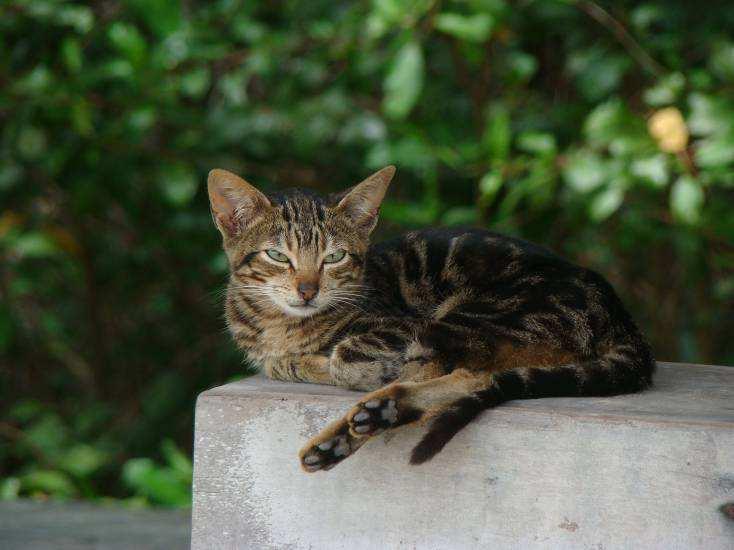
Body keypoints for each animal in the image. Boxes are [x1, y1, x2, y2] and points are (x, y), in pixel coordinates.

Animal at [206, 166, 656, 472]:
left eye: (333, 257)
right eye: (277, 255)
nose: (307, 290)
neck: (279, 324)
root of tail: (620, 315)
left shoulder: (395, 330)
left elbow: (342, 360)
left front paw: (311, 362)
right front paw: (292, 359)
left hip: (469, 318)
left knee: (468, 372)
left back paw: (376, 411)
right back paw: (350, 432)